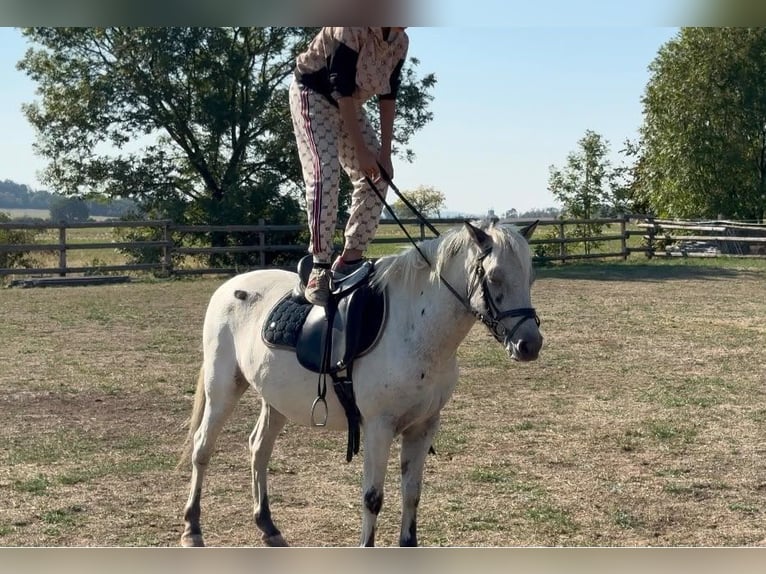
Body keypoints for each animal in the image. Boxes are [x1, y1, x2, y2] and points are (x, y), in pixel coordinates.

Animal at [179, 220, 543, 547]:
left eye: (530, 277)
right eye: (494, 277)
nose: (530, 344)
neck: (414, 329)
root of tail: (231, 286)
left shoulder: (423, 426)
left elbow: (412, 494)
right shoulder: (377, 428)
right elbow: (373, 498)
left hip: (275, 400)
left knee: (259, 449)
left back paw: (268, 526)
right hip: (222, 388)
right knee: (202, 447)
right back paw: (192, 528)